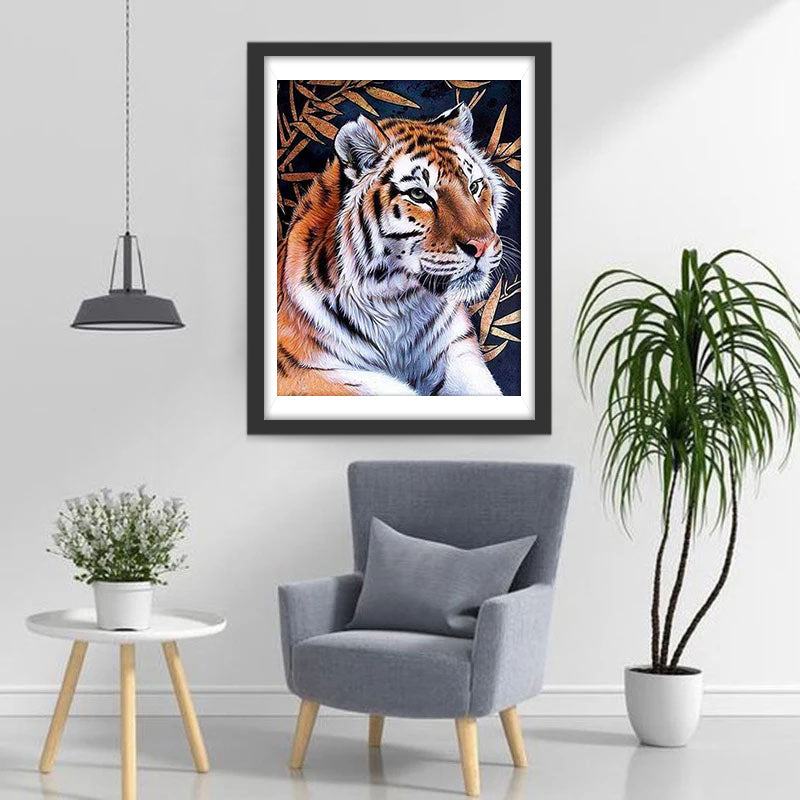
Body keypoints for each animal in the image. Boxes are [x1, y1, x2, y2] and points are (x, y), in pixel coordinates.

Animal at [277, 102, 509, 396]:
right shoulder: (305, 372)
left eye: (474, 186)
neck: (398, 305)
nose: (483, 245)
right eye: (419, 195)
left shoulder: (457, 350)